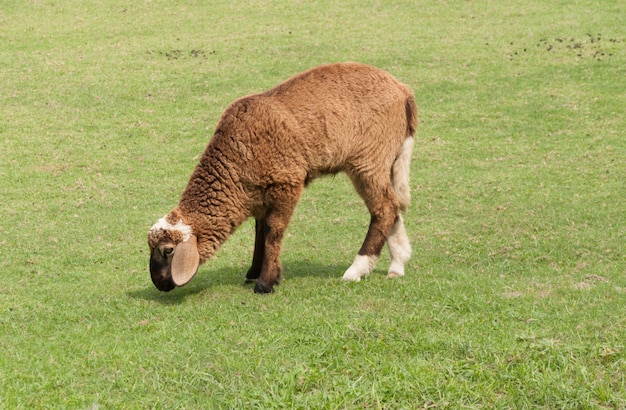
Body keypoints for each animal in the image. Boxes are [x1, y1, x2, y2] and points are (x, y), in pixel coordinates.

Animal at [148, 61, 416, 292]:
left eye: (168, 250)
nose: (159, 284)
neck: (232, 164)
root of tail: (402, 90)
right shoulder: (258, 193)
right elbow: (259, 231)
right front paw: (254, 271)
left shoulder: (287, 182)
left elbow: (273, 229)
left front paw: (266, 282)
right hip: (388, 158)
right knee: (393, 206)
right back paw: (397, 265)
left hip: (368, 159)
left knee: (384, 208)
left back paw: (357, 269)